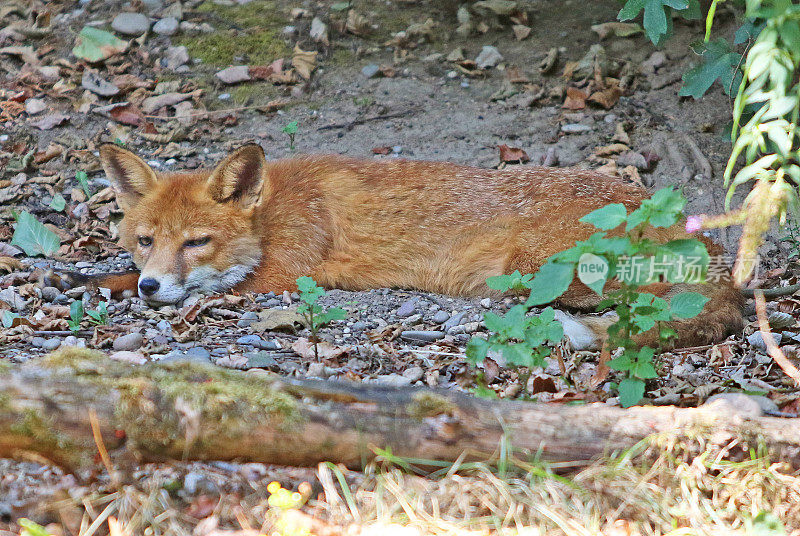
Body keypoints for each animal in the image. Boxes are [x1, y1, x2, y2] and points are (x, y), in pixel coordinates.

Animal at [54, 144, 744, 350]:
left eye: (197, 242)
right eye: (146, 240)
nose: (153, 285)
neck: (275, 209)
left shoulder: (289, 272)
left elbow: (216, 287)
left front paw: (125, 288)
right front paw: (96, 280)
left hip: (528, 271)